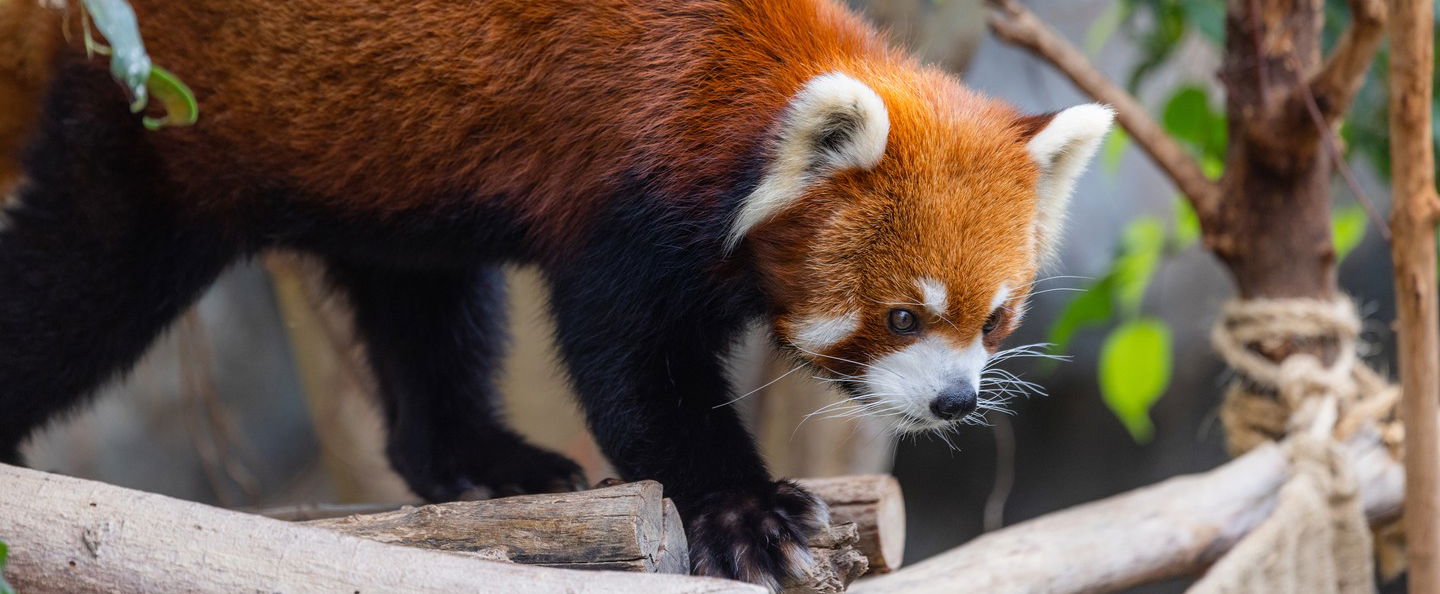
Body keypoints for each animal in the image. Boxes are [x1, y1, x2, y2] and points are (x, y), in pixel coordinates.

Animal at [0, 0, 1111, 585]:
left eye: (994, 319)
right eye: (901, 315)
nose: (955, 401)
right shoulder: (626, 193)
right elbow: (635, 375)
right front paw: (748, 514)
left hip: (382, 165)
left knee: (425, 311)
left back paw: (480, 462)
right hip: (162, 110)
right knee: (78, 284)